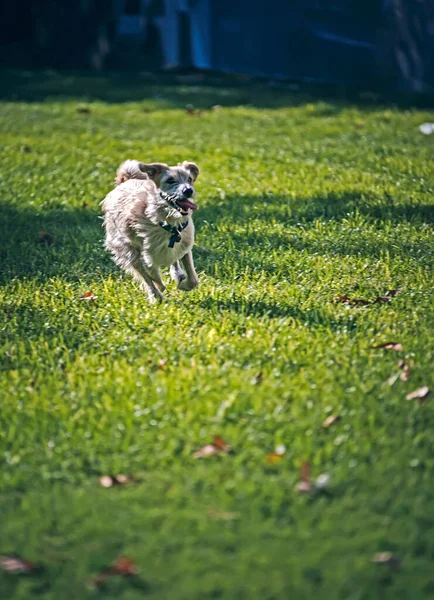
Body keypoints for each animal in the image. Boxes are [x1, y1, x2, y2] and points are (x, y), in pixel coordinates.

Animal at [103, 159, 200, 302]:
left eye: (189, 179)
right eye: (170, 180)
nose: (188, 190)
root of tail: (125, 182)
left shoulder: (185, 246)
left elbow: (192, 278)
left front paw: (183, 284)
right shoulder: (146, 255)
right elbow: (151, 276)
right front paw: (156, 292)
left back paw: (177, 274)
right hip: (128, 250)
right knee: (145, 274)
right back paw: (156, 294)